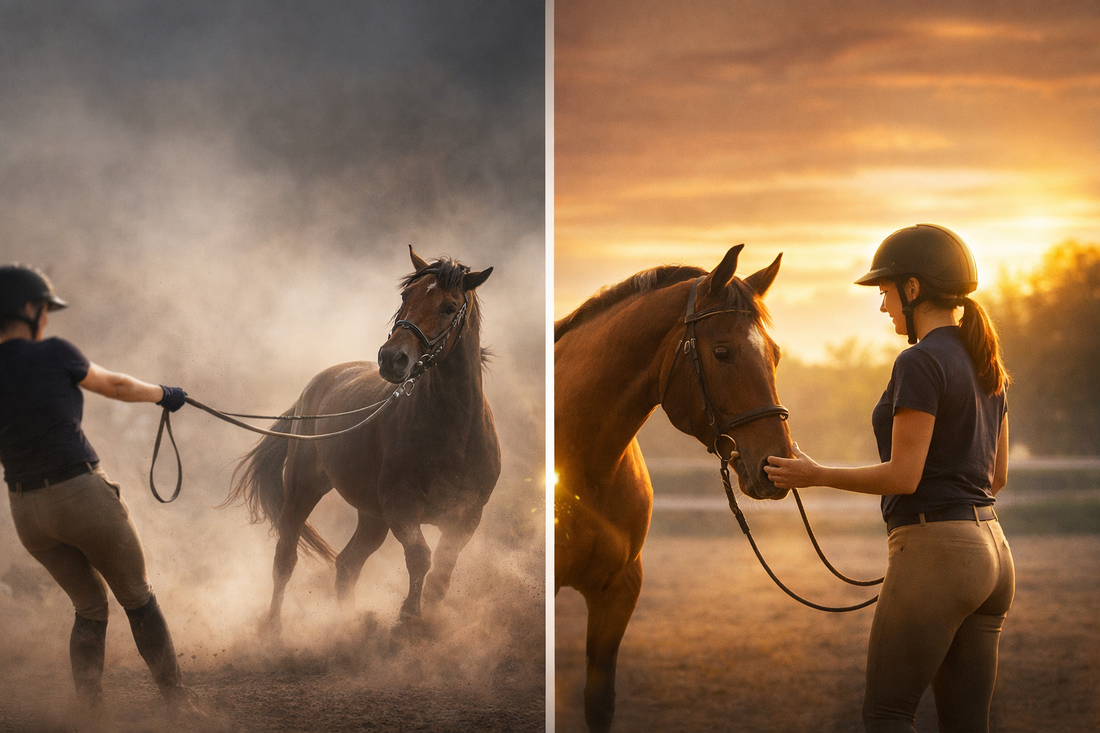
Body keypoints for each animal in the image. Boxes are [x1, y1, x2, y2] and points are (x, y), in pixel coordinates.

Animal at [226, 247, 500, 635]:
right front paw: (407, 617)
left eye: (449, 307)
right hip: (303, 491)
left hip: (372, 517)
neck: (454, 431)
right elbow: (420, 558)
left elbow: (441, 573)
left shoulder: (466, 515)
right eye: (406, 296)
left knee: (347, 564)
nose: (392, 358)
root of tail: (315, 388)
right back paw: (274, 629)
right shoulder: (402, 506)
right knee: (286, 558)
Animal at [554, 245, 793, 732]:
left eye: (775, 355)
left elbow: (599, 702)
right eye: (722, 352)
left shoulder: (619, 590)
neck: (583, 469)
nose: (775, 464)